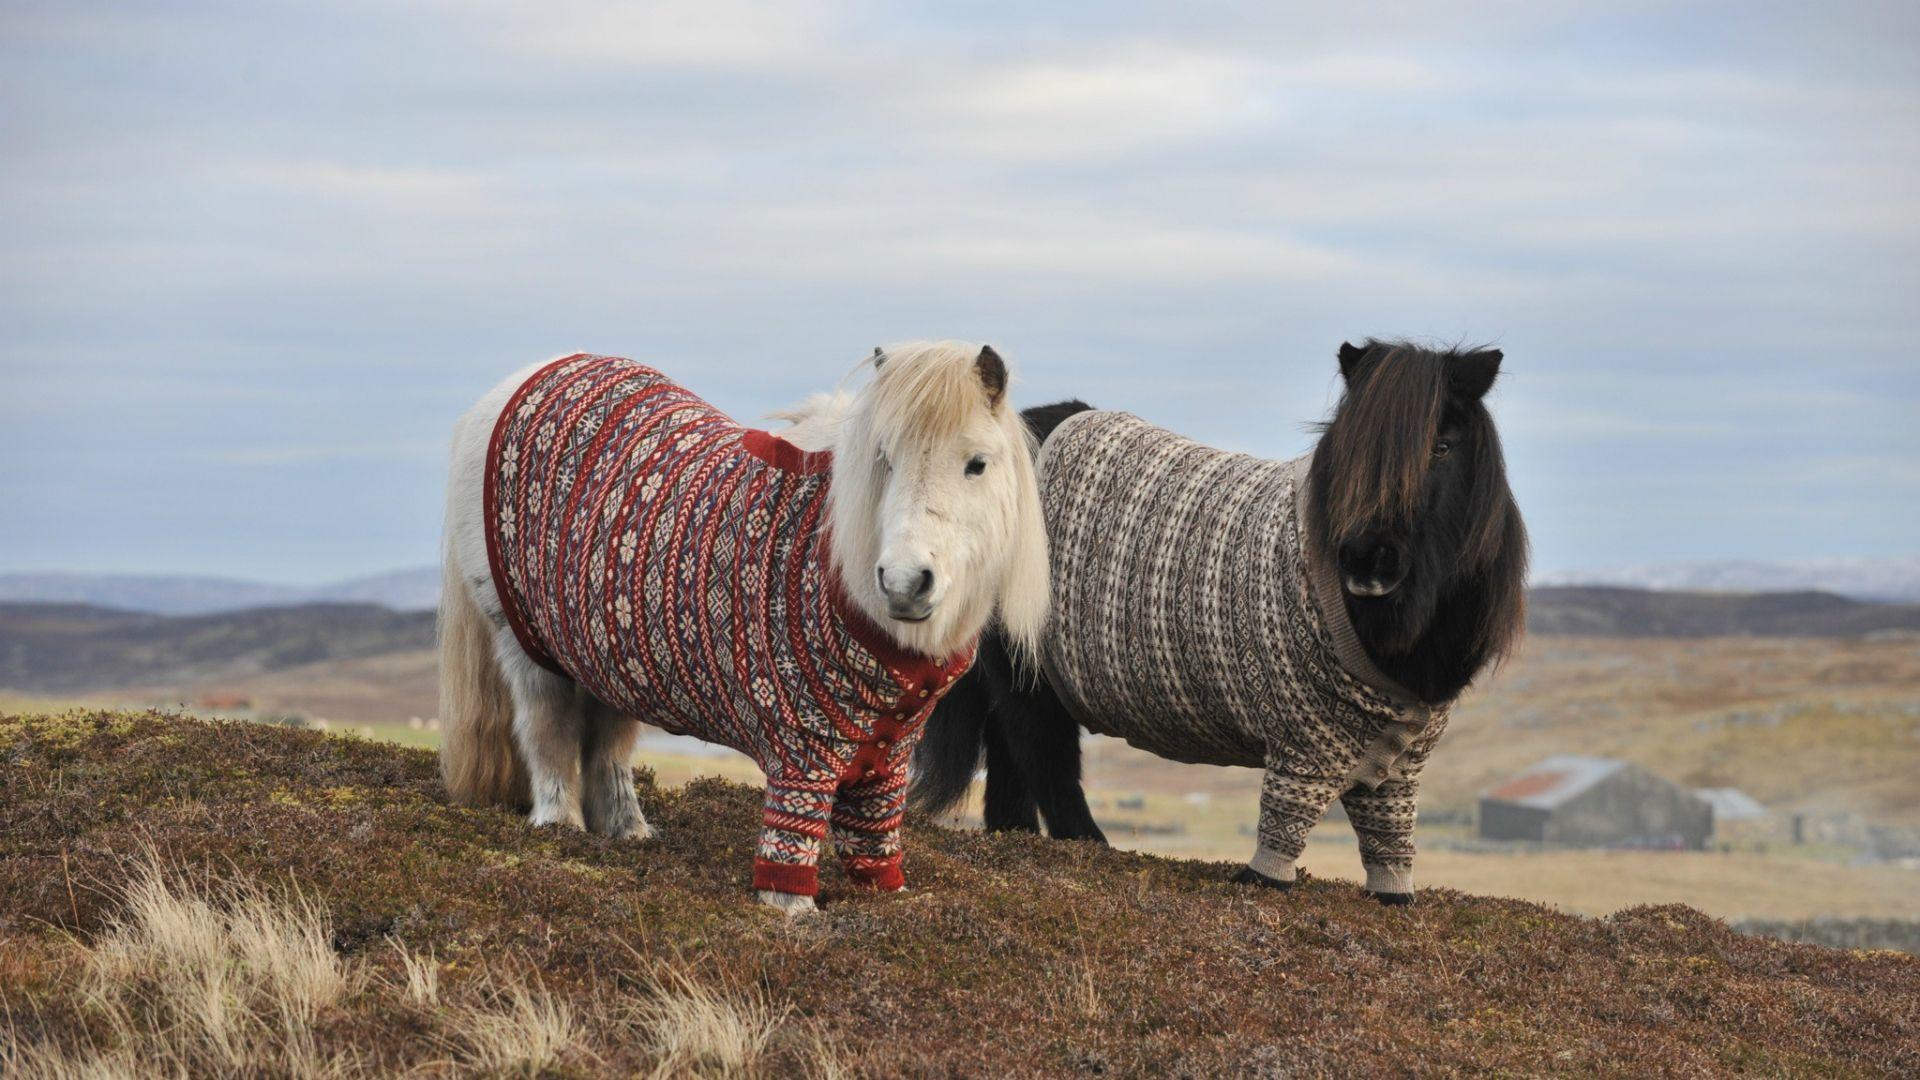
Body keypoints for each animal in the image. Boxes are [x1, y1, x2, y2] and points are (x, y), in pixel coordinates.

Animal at [438, 342, 1049, 913]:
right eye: (885, 460)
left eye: (977, 463)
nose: (903, 583)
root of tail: (526, 379)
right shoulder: (802, 749)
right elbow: (792, 842)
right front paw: (793, 911)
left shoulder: (888, 755)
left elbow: (874, 840)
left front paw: (887, 899)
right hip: (526, 645)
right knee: (548, 731)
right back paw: (560, 827)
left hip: (607, 657)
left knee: (608, 746)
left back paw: (629, 832)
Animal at [911, 340, 1528, 904]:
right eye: (1349, 449)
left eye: (1442, 447)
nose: (1366, 560)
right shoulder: (1301, 746)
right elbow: (1283, 827)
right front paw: (1262, 882)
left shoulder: (1400, 768)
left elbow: (1389, 839)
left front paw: (1393, 895)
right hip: (1030, 671)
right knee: (1043, 755)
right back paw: (1088, 844)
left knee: (1011, 752)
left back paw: (1015, 836)